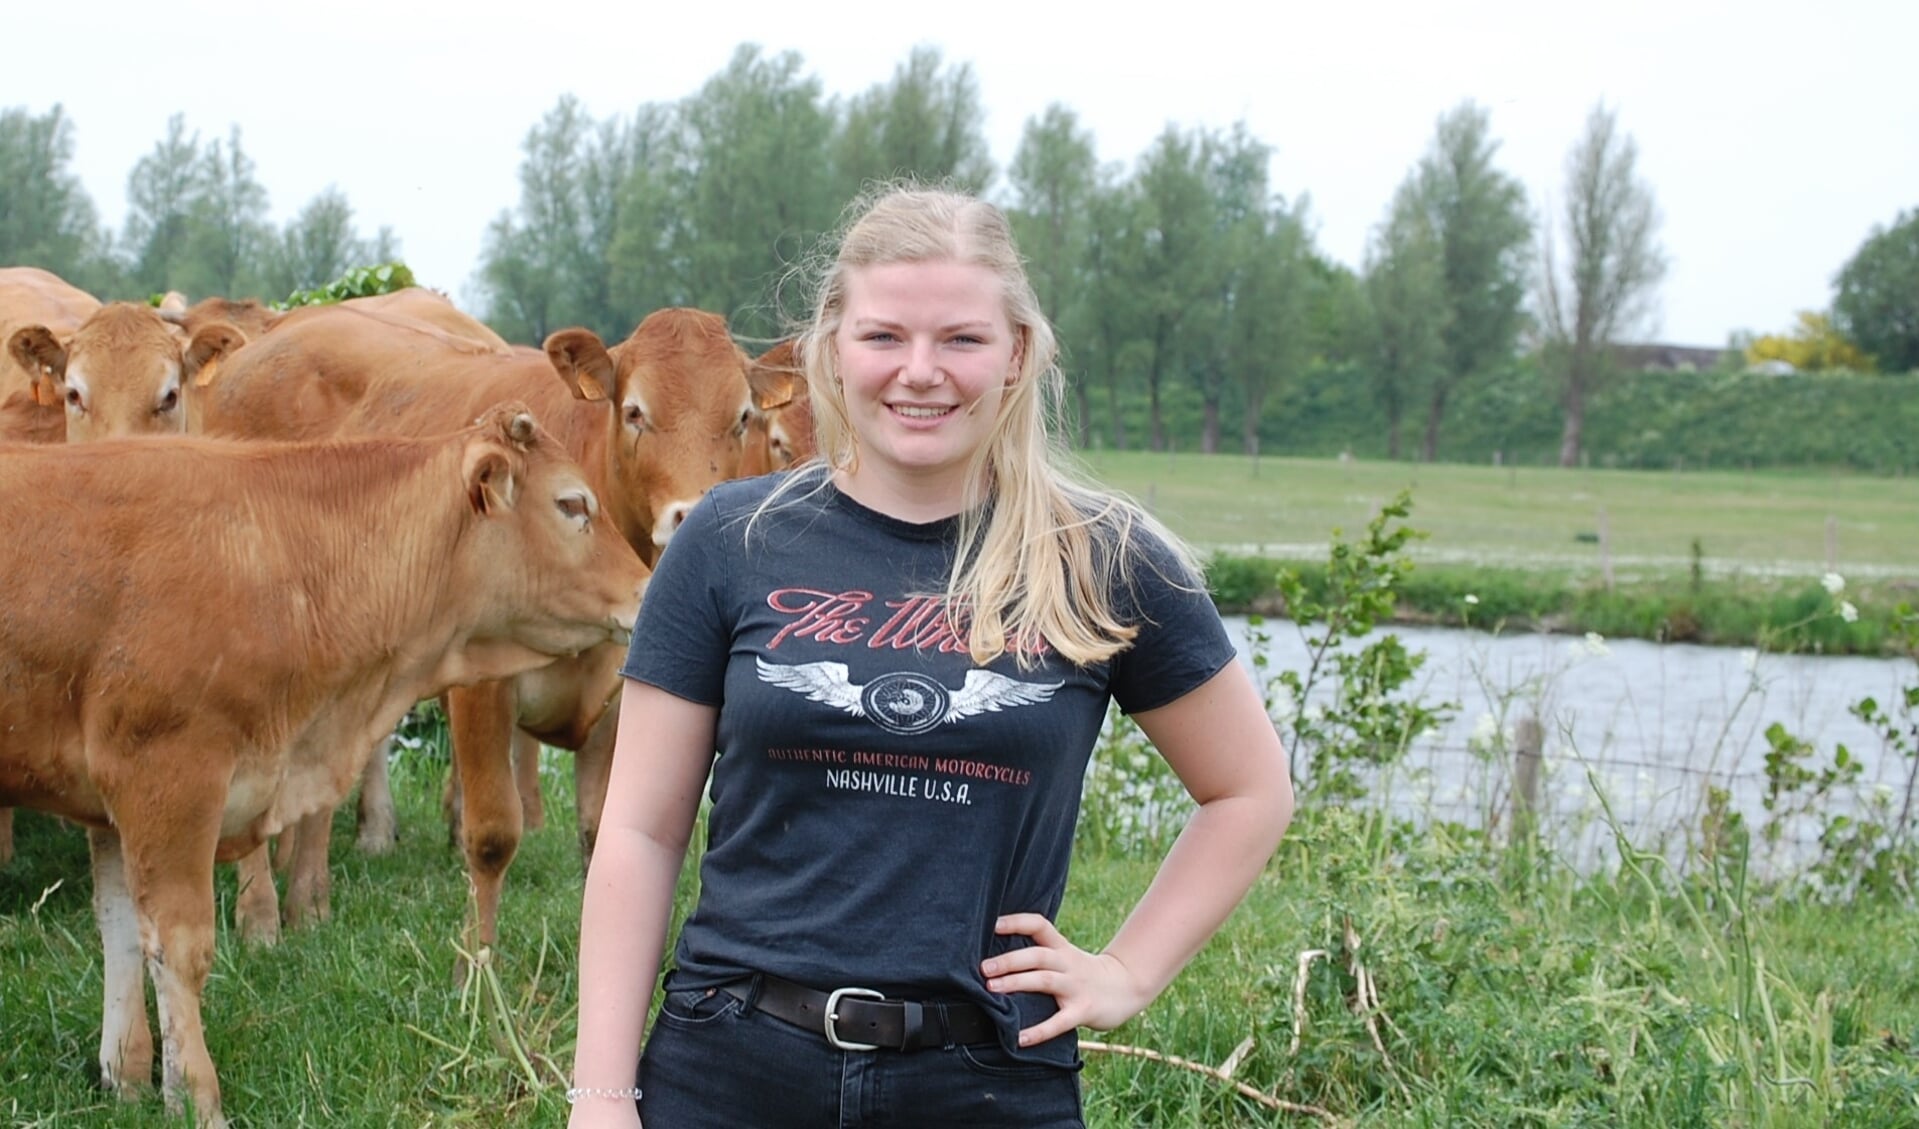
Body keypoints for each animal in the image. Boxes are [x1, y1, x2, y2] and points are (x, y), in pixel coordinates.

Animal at [0, 403, 648, 1121]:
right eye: (572, 503)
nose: (647, 591)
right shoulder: (166, 779)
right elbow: (179, 947)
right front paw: (197, 1100)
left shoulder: (110, 803)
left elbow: (117, 930)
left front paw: (128, 1075)